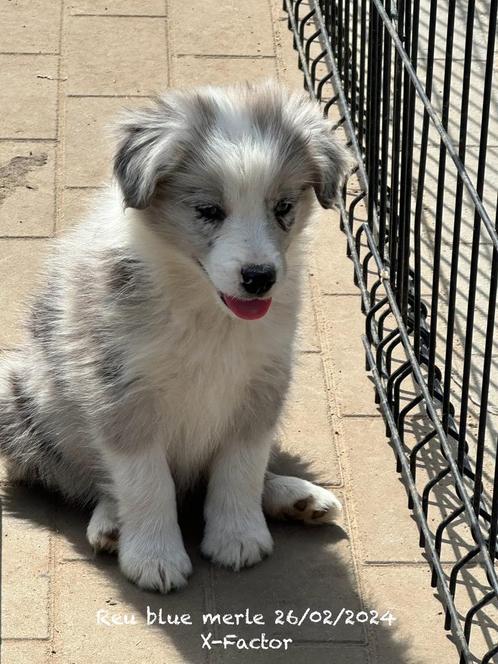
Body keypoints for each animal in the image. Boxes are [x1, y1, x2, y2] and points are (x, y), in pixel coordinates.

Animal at [0, 81, 350, 592]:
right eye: (208, 211)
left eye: (283, 208)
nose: (260, 278)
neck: (204, 306)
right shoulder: (119, 388)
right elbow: (146, 480)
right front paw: (155, 558)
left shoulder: (264, 380)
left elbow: (241, 467)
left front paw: (238, 536)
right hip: (22, 403)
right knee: (85, 480)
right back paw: (112, 524)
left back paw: (295, 497)